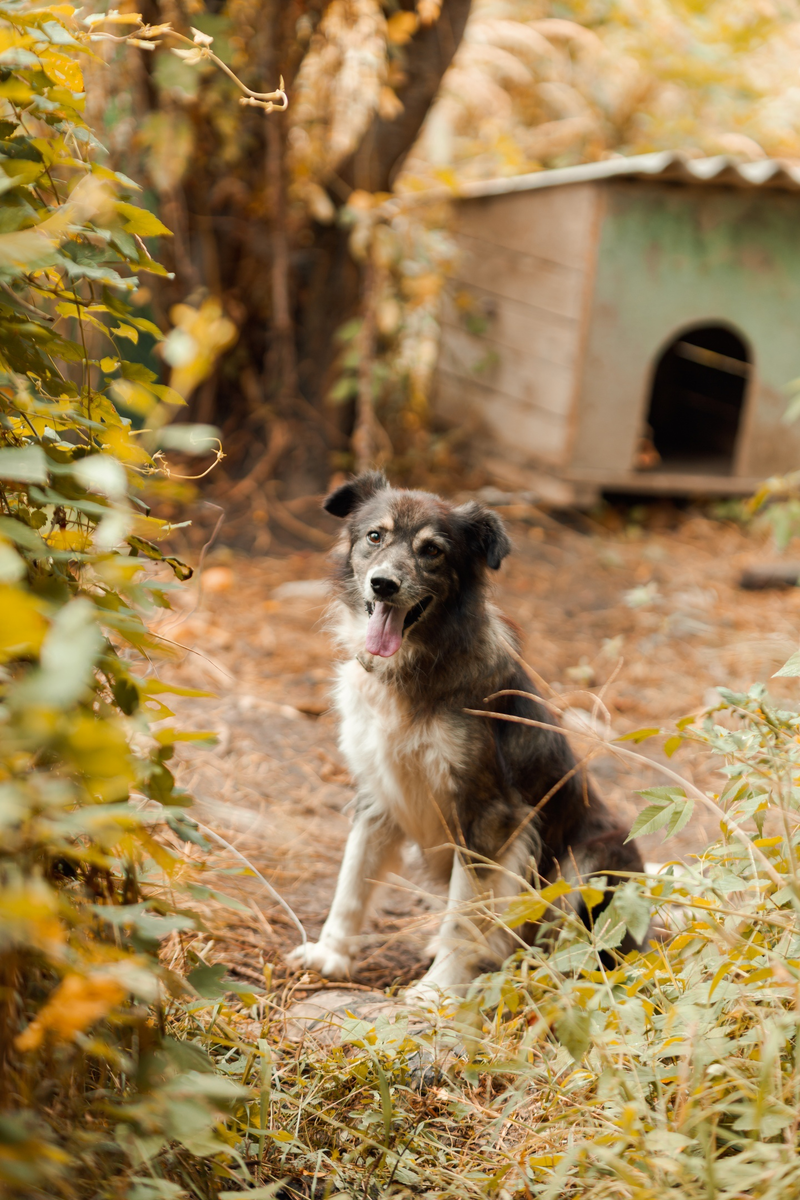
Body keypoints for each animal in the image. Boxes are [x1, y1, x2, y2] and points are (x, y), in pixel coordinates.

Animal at [287, 472, 642, 998]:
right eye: (374, 536)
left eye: (432, 551)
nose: (383, 584)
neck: (413, 667)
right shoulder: (377, 794)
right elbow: (351, 882)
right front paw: (330, 953)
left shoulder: (489, 816)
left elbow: (463, 913)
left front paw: (435, 992)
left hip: (594, 858)